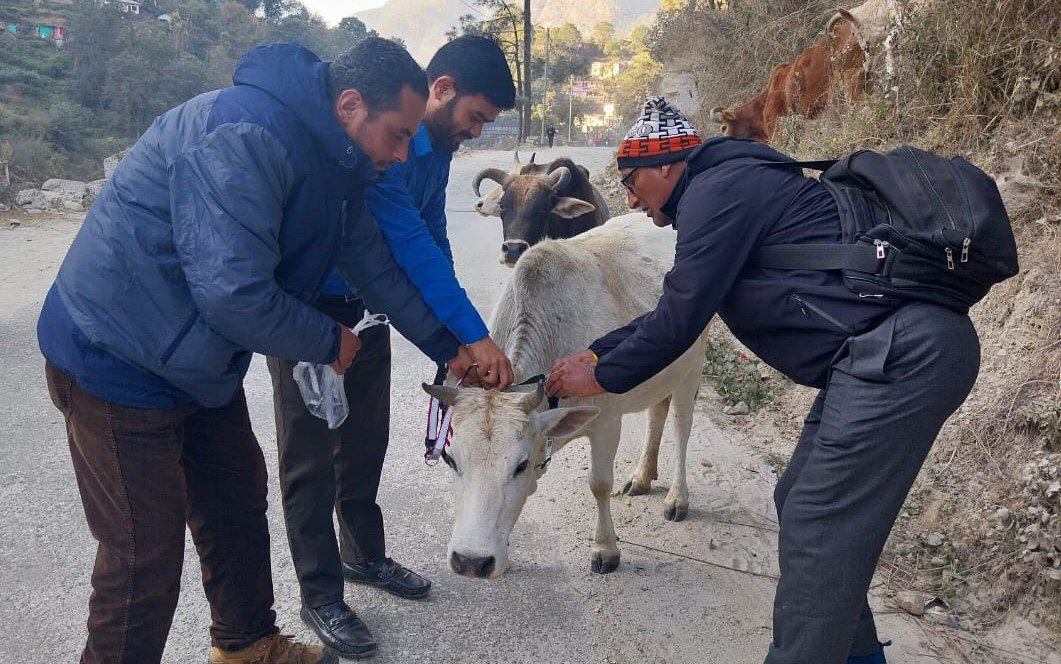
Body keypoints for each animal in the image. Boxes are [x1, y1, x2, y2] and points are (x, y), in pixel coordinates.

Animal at [420, 214, 704, 577]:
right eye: (450, 459)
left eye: (520, 465)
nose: (471, 561)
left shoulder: (607, 422)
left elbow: (599, 483)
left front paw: (605, 549)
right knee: (657, 410)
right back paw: (642, 477)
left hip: (692, 363)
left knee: (682, 425)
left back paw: (677, 498)